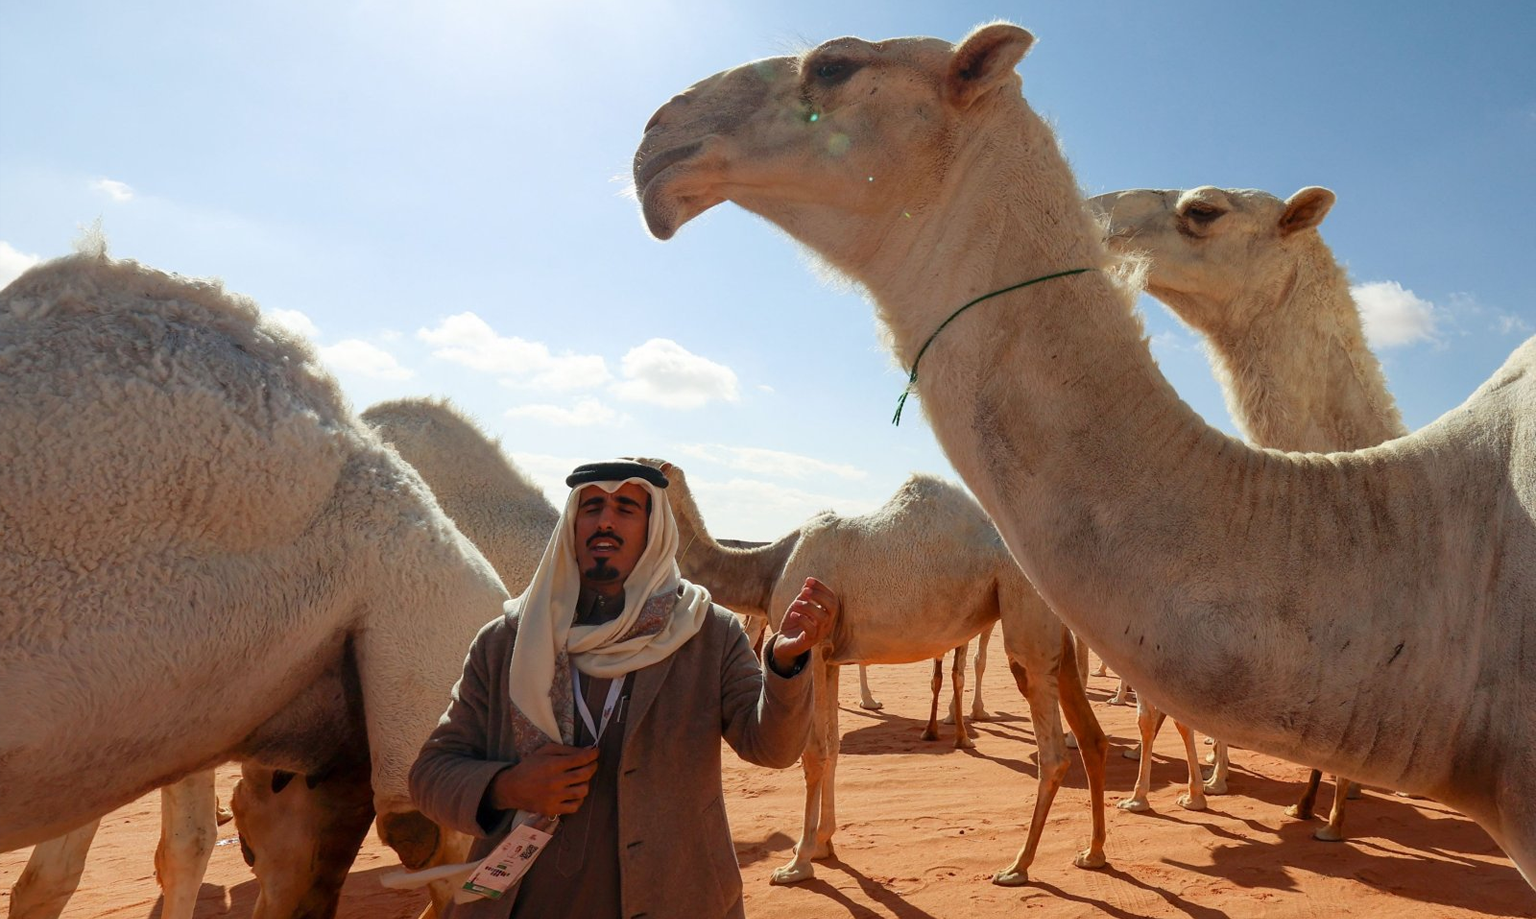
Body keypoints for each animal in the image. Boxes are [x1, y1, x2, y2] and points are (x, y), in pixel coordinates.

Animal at [635, 458, 1107, 887]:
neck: (771, 565)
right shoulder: (828, 659)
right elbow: (833, 746)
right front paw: (822, 843)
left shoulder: (810, 644)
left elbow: (814, 752)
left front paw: (797, 863)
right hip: (1054, 626)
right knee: (1090, 736)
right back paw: (1093, 853)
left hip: (1023, 603)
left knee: (1052, 751)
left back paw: (1018, 866)